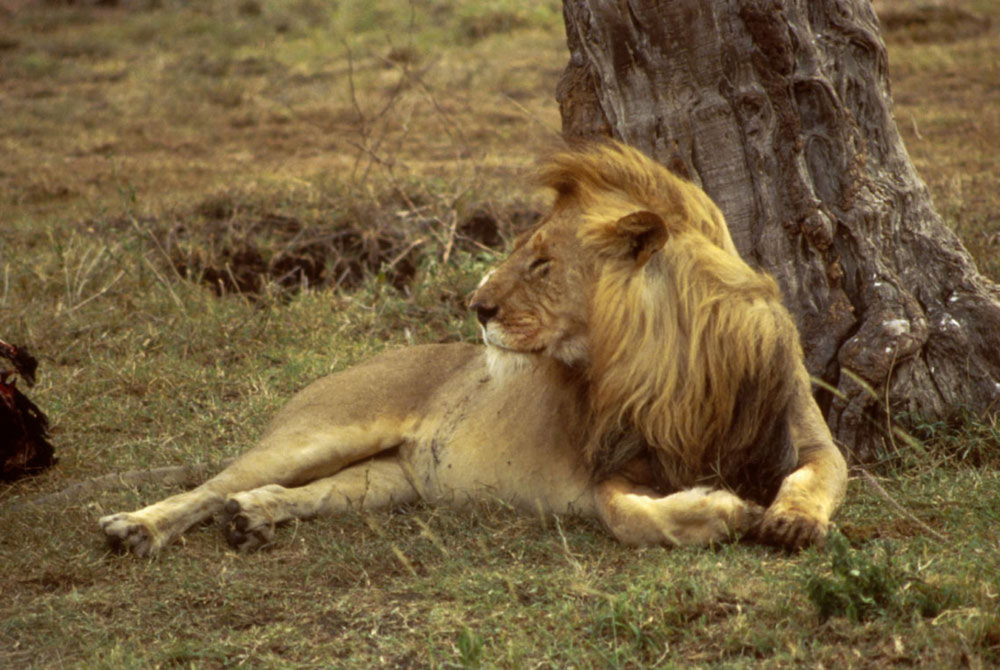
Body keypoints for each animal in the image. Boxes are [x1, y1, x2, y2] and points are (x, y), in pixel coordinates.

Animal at [101, 140, 848, 556]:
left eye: (542, 263)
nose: (476, 306)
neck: (680, 366)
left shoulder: (803, 429)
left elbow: (816, 474)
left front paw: (790, 521)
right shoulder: (610, 468)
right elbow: (629, 516)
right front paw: (724, 513)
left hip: (390, 480)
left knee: (301, 492)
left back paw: (255, 516)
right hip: (320, 431)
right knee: (211, 485)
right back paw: (137, 528)